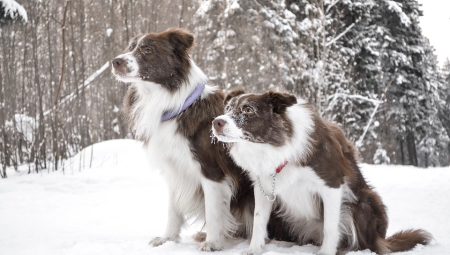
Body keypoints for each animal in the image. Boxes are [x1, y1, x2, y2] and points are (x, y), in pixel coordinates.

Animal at [110, 28, 258, 250]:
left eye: (147, 49)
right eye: (131, 47)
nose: (115, 61)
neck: (177, 106)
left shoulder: (211, 171)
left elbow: (213, 211)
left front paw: (213, 243)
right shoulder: (174, 169)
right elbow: (173, 209)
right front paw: (167, 238)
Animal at [213, 91, 430, 255]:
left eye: (247, 109)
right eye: (228, 108)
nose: (217, 122)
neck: (274, 147)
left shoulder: (332, 185)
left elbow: (330, 225)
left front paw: (326, 252)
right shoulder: (263, 188)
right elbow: (258, 220)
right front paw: (254, 249)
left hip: (366, 200)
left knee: (364, 242)